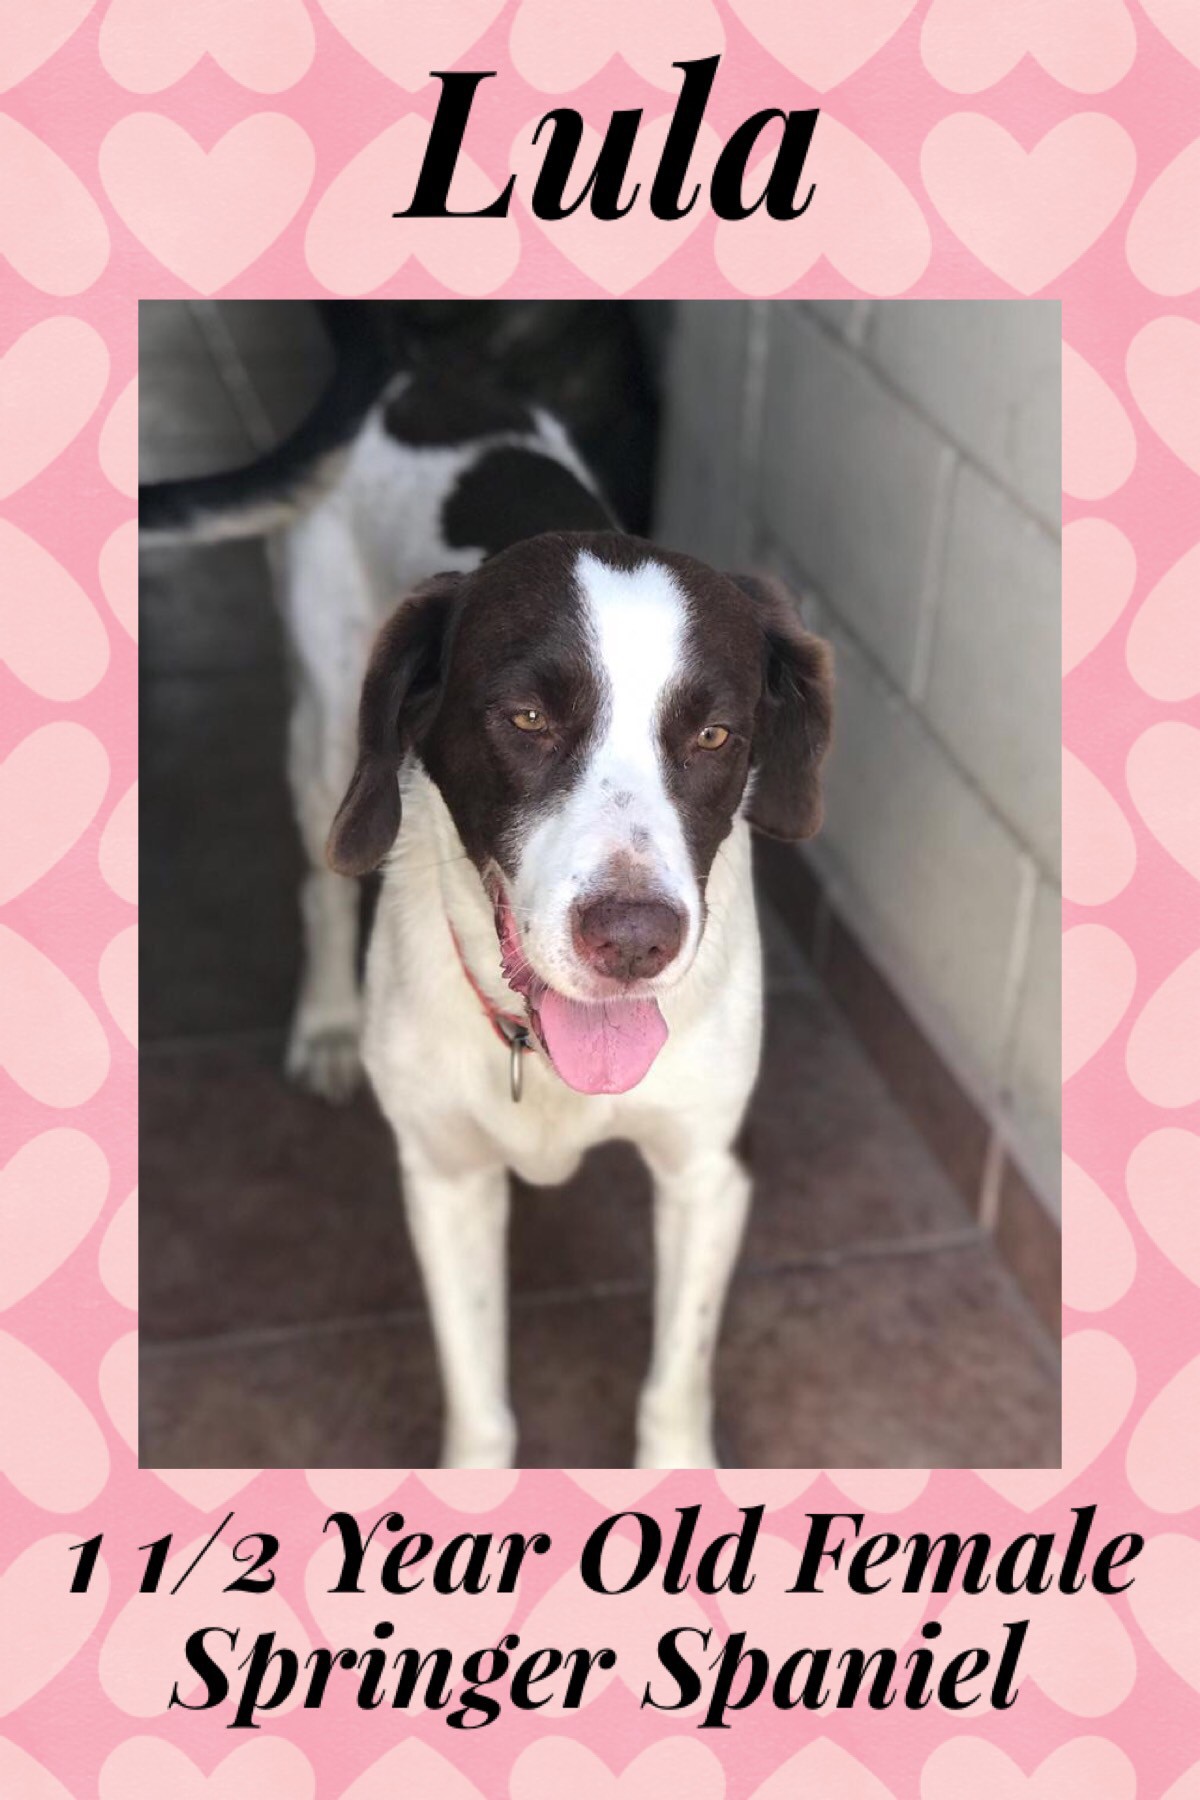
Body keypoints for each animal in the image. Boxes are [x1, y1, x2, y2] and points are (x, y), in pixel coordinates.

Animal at [141, 302, 831, 1468]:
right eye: (527, 718)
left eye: (715, 735)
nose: (634, 939)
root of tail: (426, 368)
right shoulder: (445, 1178)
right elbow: (480, 1399)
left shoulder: (707, 1169)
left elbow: (674, 1381)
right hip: (326, 729)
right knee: (322, 879)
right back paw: (325, 1024)